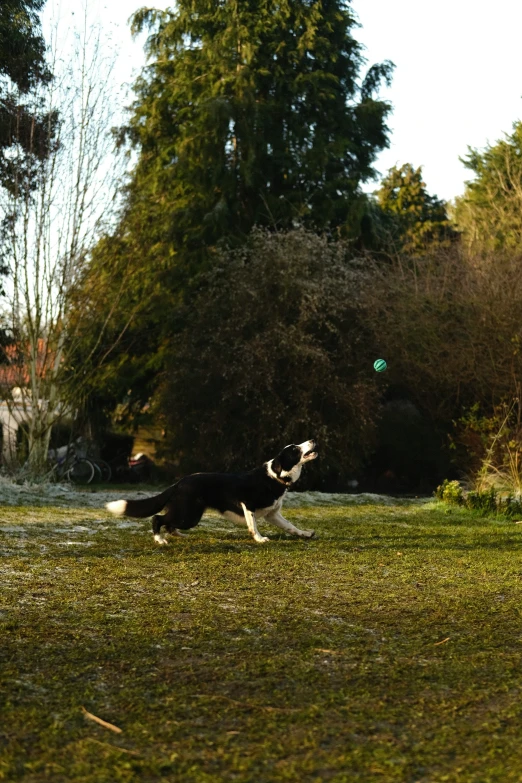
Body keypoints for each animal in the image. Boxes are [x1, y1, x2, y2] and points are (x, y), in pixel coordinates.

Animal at [104, 440, 316, 544]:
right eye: (295, 449)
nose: (313, 440)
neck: (275, 476)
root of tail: (179, 483)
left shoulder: (272, 514)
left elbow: (290, 526)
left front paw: (305, 534)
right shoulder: (248, 505)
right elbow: (253, 526)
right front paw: (259, 539)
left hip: (188, 515)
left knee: (169, 523)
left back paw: (178, 536)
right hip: (189, 514)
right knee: (158, 518)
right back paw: (160, 540)